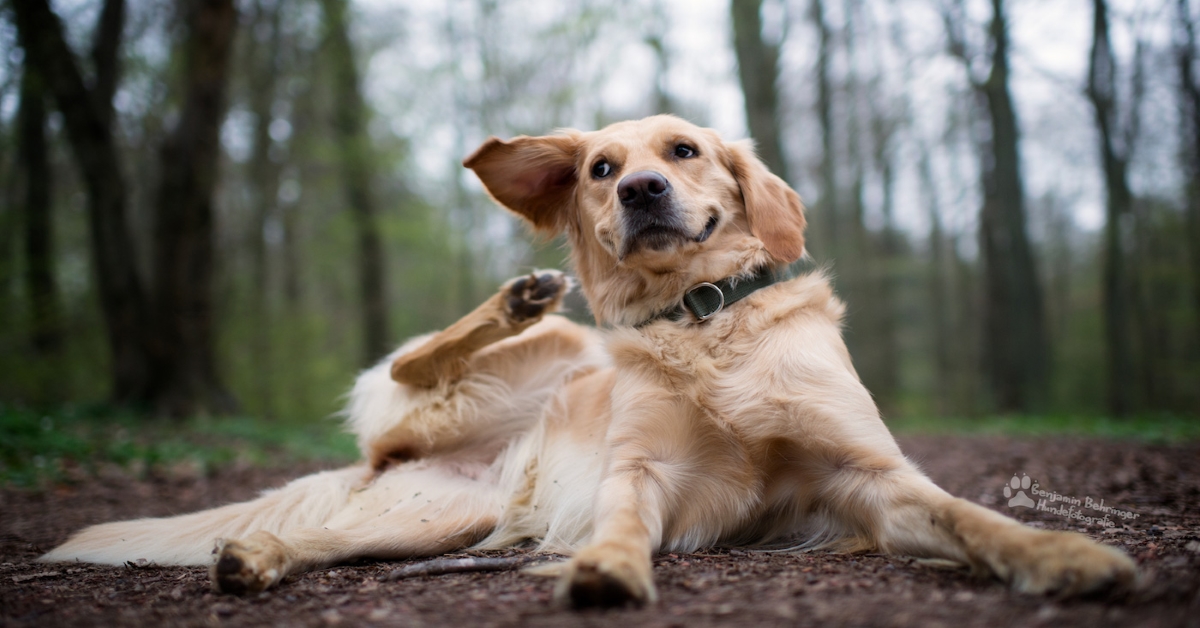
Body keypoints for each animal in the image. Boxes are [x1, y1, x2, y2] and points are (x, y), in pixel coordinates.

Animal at [42, 115, 1137, 607]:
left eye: (686, 151)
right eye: (602, 168)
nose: (643, 189)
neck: (701, 323)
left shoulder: (871, 477)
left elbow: (970, 516)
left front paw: (1061, 555)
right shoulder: (639, 467)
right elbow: (619, 516)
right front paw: (607, 566)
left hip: (435, 513)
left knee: (327, 533)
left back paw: (259, 554)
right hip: (536, 364)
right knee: (412, 371)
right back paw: (513, 300)